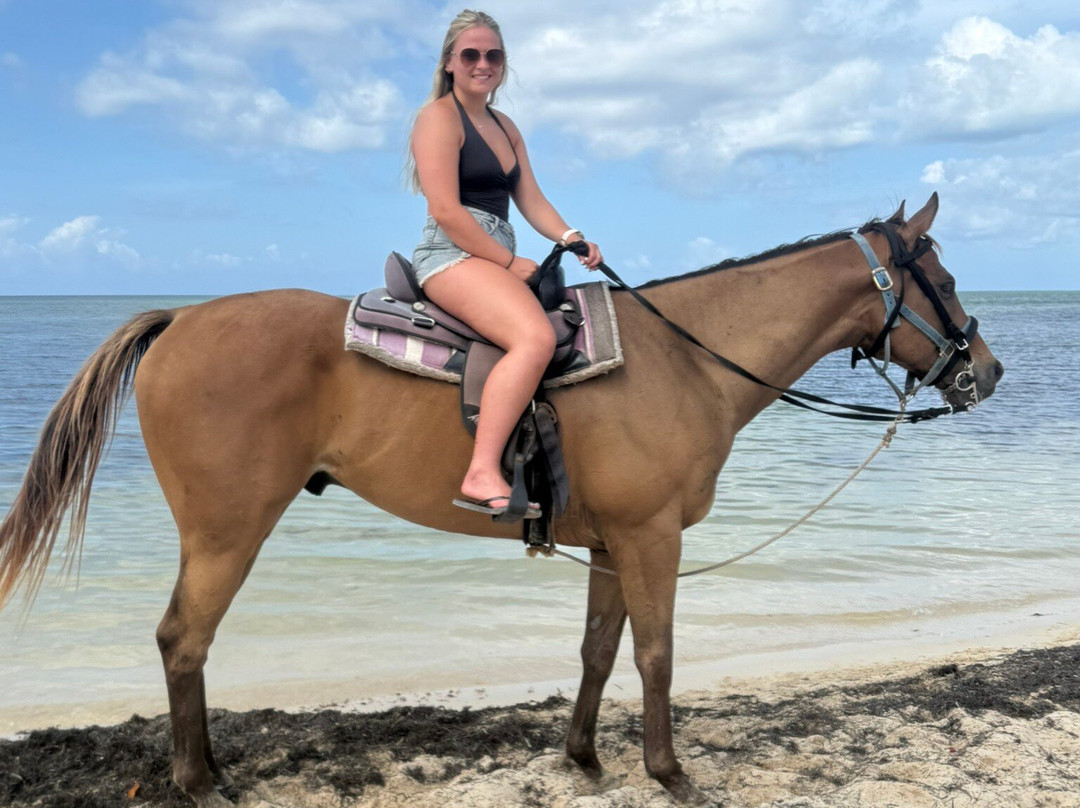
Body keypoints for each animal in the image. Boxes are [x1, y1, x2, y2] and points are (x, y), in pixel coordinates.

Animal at [0, 194, 1002, 807]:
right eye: (946, 281)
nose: (985, 372)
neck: (687, 357)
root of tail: (180, 318)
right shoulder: (652, 540)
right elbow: (658, 657)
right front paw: (669, 771)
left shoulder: (611, 543)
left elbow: (599, 652)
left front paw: (585, 758)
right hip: (227, 531)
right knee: (183, 639)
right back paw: (199, 780)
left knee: (189, 645)